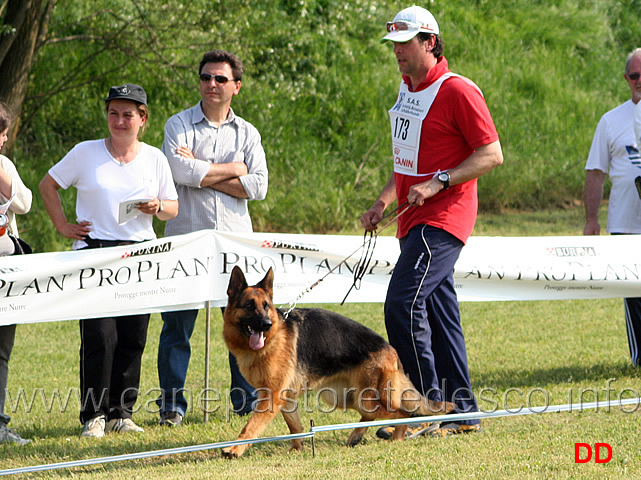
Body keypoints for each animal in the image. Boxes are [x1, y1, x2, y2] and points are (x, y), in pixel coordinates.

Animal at [222, 266, 452, 458]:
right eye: (249, 306)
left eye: (266, 306)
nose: (267, 324)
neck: (271, 339)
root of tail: (391, 349)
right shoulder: (284, 398)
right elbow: (295, 427)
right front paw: (297, 449)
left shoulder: (271, 397)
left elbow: (251, 426)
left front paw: (234, 449)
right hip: (344, 398)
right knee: (373, 415)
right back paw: (355, 437)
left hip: (364, 398)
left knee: (403, 413)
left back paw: (396, 439)